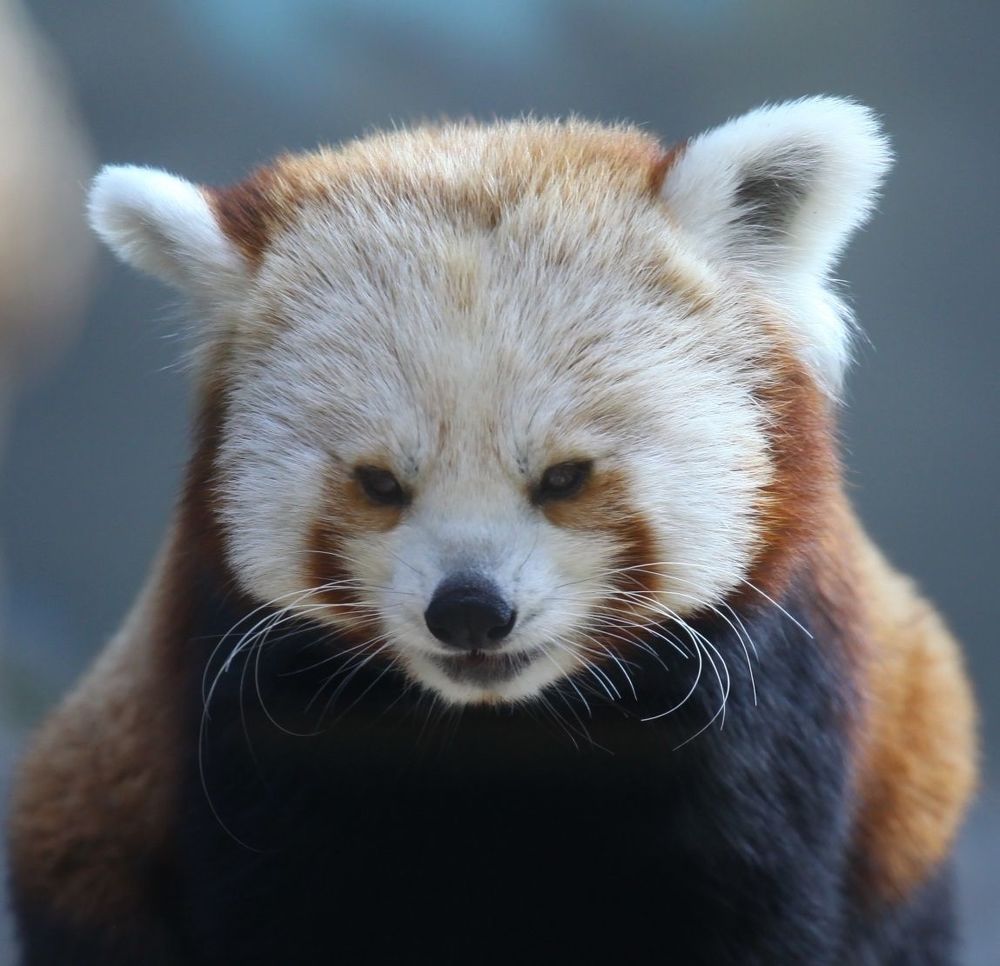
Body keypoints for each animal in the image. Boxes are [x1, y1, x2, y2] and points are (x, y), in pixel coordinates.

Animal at [7, 98, 977, 965]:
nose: (469, 610)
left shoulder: (773, 732)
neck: (505, 732)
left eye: (564, 478)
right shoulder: (253, 747)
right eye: (380, 484)